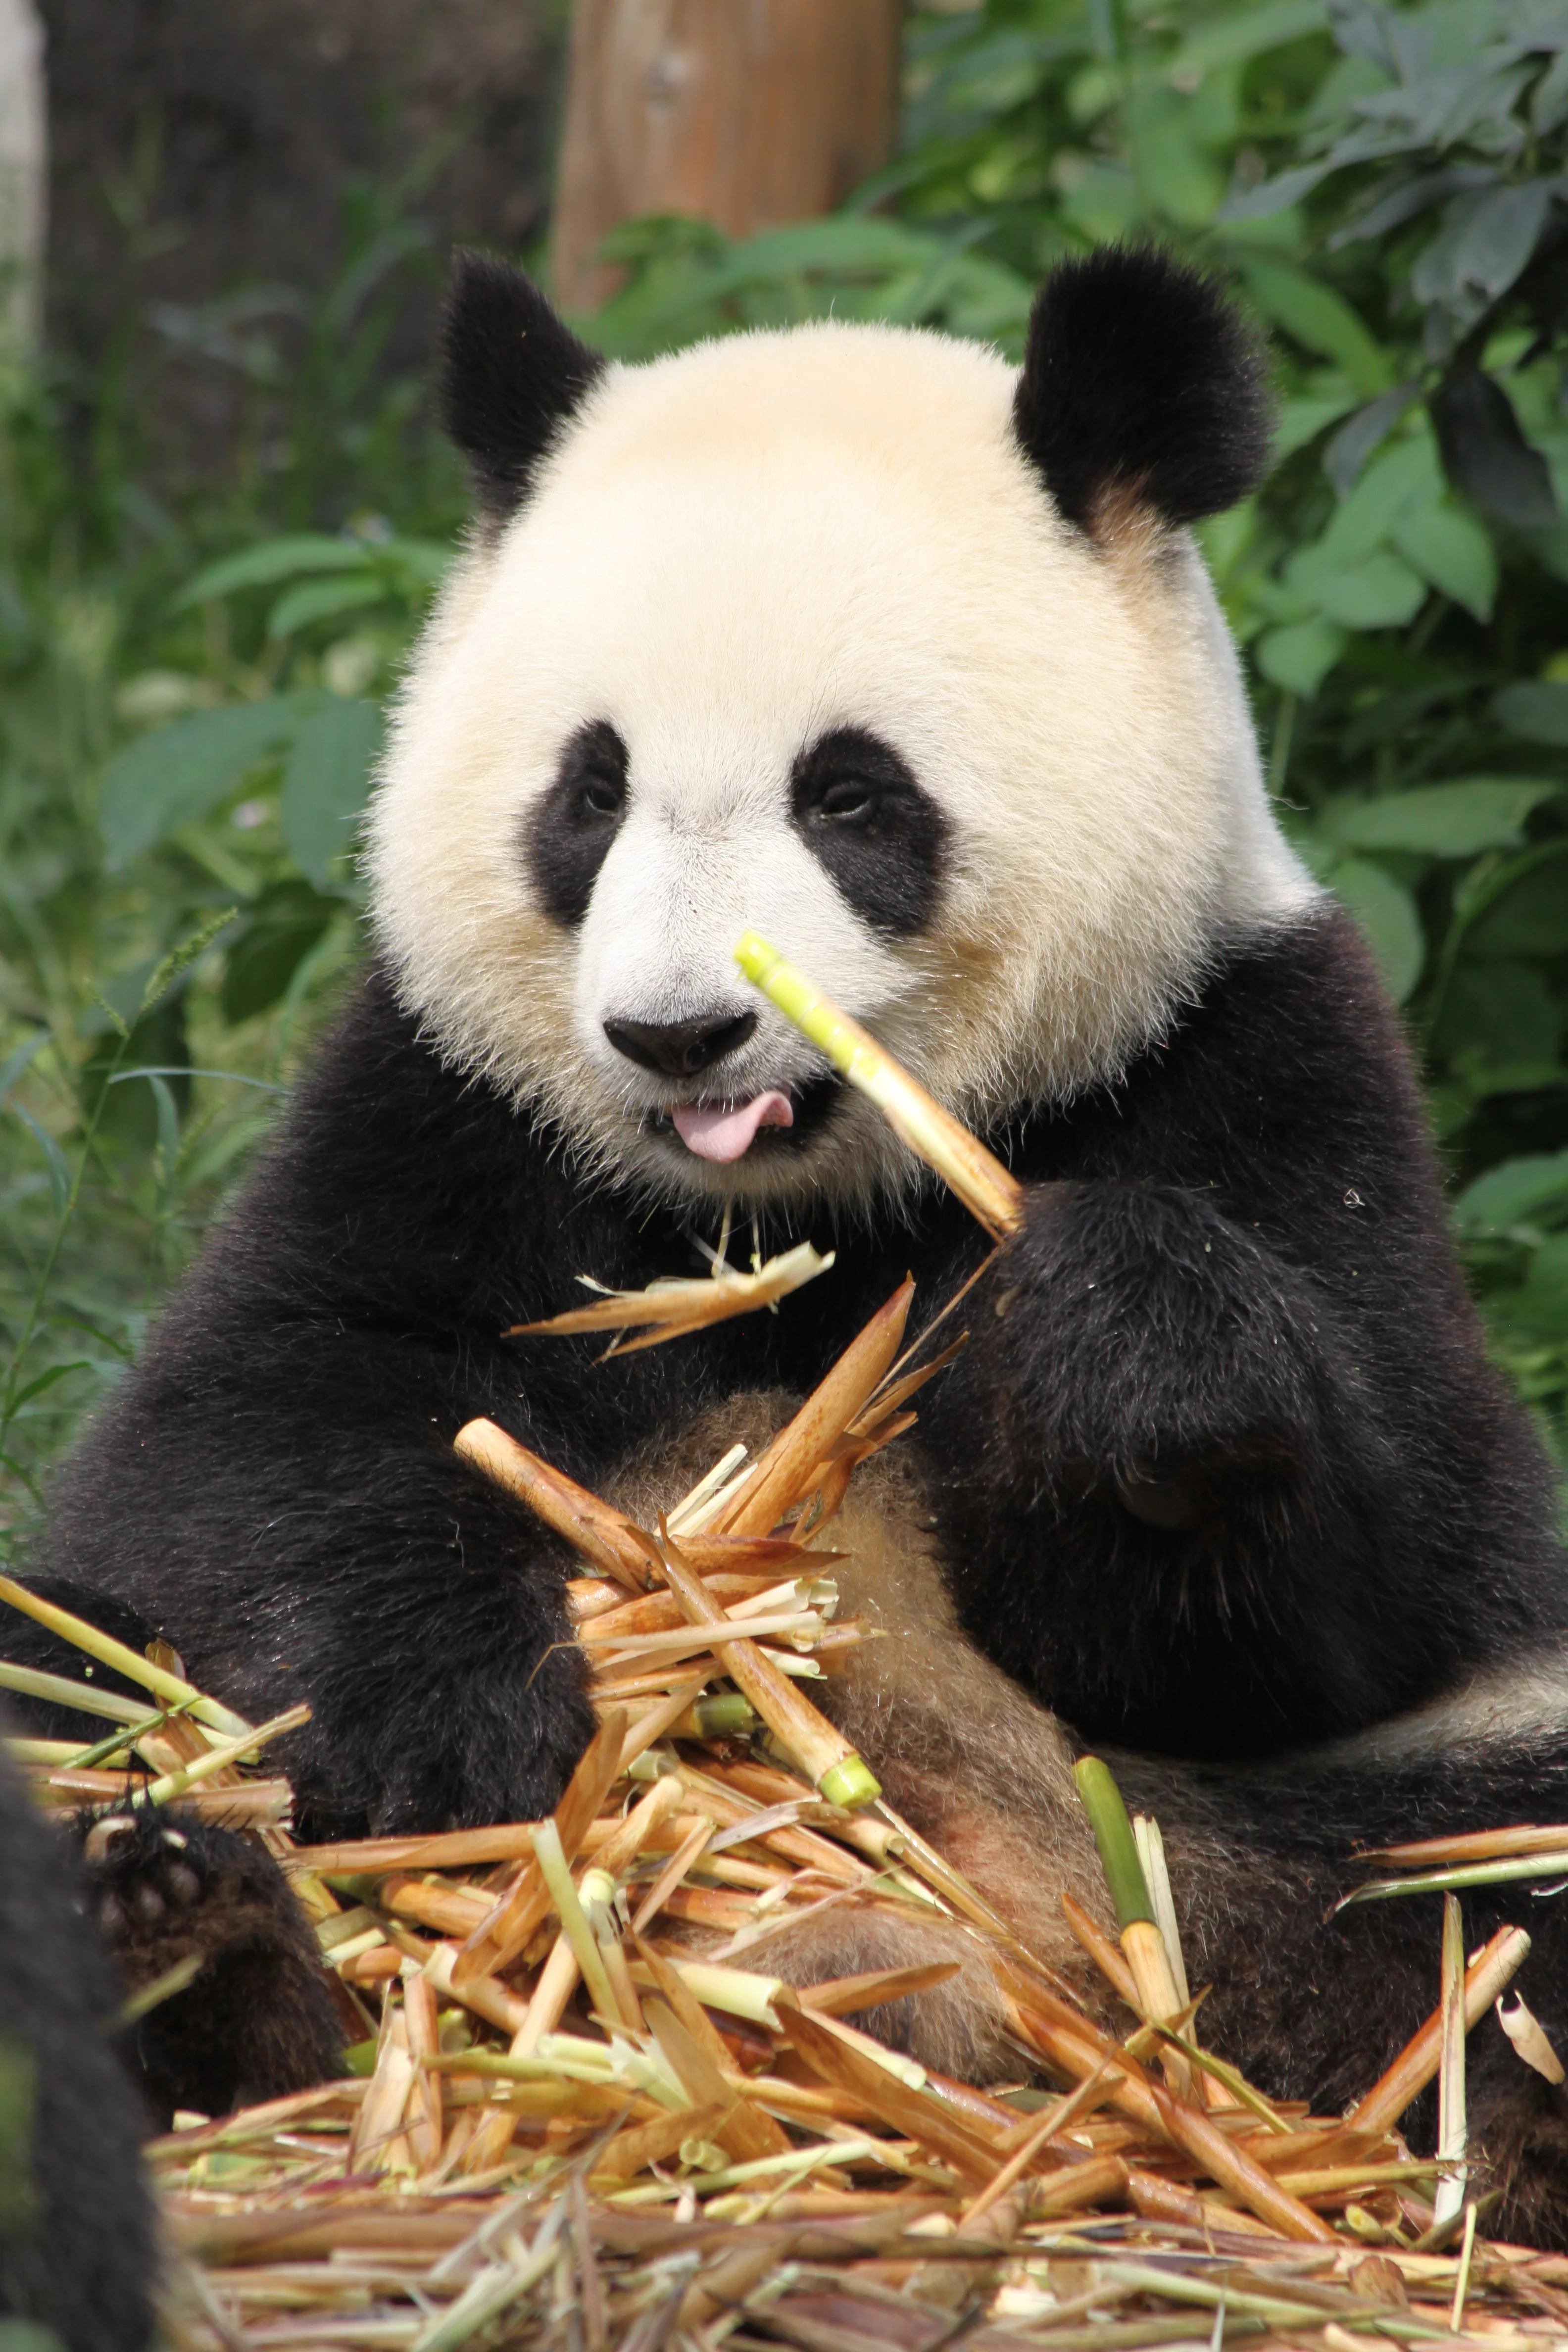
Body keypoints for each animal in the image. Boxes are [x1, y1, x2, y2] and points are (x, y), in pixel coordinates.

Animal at [27, 243, 1568, 2236]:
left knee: (1462, 1891)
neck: (783, 1215)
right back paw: (190, 1938)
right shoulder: (438, 1104)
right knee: (79, 1688)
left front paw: (1112, 1345)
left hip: (1310, 1847)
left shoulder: (1254, 1059)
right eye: (589, 790)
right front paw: (457, 1738)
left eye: (850, 794)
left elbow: (1354, 1584)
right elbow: (249, 1443)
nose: (680, 1035)